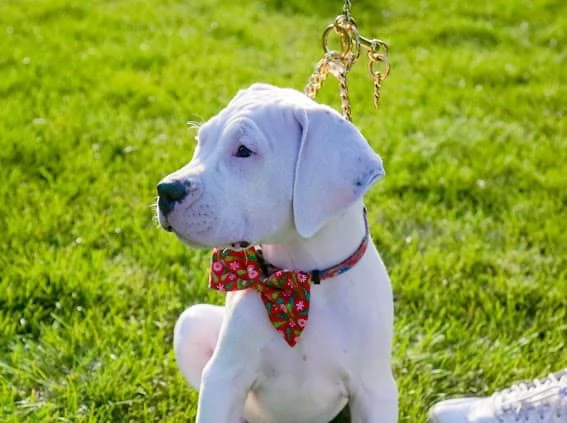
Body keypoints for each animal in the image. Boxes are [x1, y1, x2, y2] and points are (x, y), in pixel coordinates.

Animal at [155, 83, 394, 423]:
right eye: (200, 142)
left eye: (244, 150)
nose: (165, 190)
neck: (301, 278)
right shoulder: (223, 377)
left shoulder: (375, 391)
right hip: (192, 324)